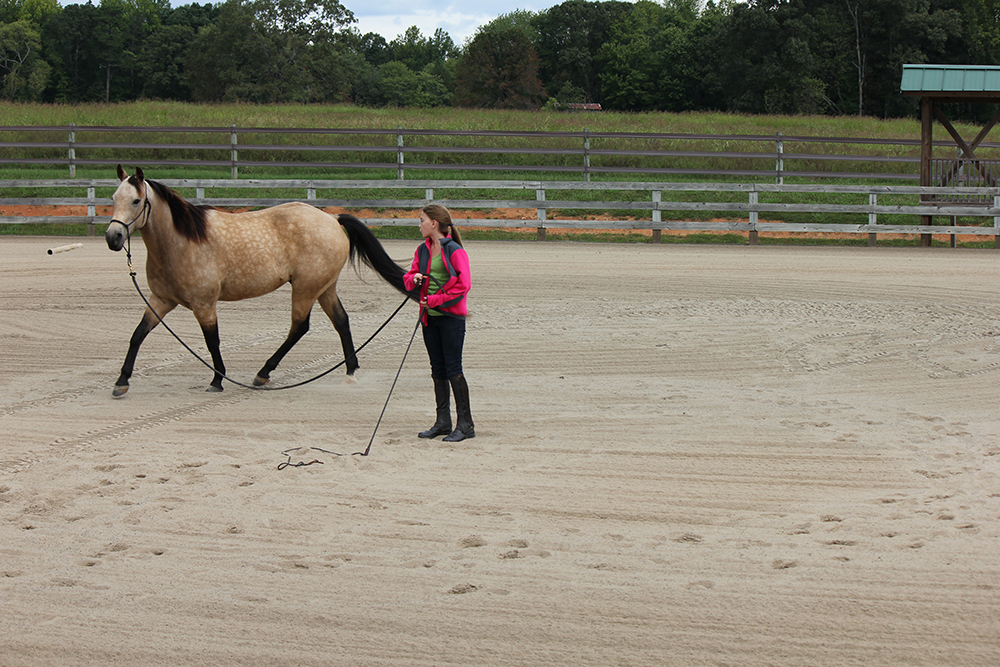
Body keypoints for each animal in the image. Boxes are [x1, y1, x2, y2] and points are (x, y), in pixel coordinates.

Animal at [105, 165, 413, 397]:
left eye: (136, 201)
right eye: (113, 198)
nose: (113, 238)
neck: (180, 243)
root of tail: (333, 219)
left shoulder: (204, 304)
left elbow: (212, 341)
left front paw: (217, 380)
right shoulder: (161, 300)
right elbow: (138, 335)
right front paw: (121, 381)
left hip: (305, 288)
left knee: (300, 327)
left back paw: (263, 373)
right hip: (324, 287)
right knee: (341, 321)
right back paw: (350, 371)